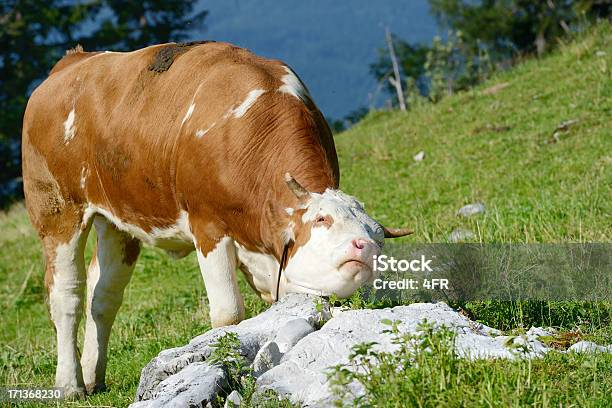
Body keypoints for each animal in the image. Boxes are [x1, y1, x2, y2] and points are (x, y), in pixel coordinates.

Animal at [21, 42, 412, 398]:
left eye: (378, 237)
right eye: (321, 219)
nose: (364, 248)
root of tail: (73, 61)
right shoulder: (208, 226)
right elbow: (228, 315)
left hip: (116, 220)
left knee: (102, 295)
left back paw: (92, 375)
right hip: (57, 212)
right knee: (66, 295)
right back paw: (70, 385)